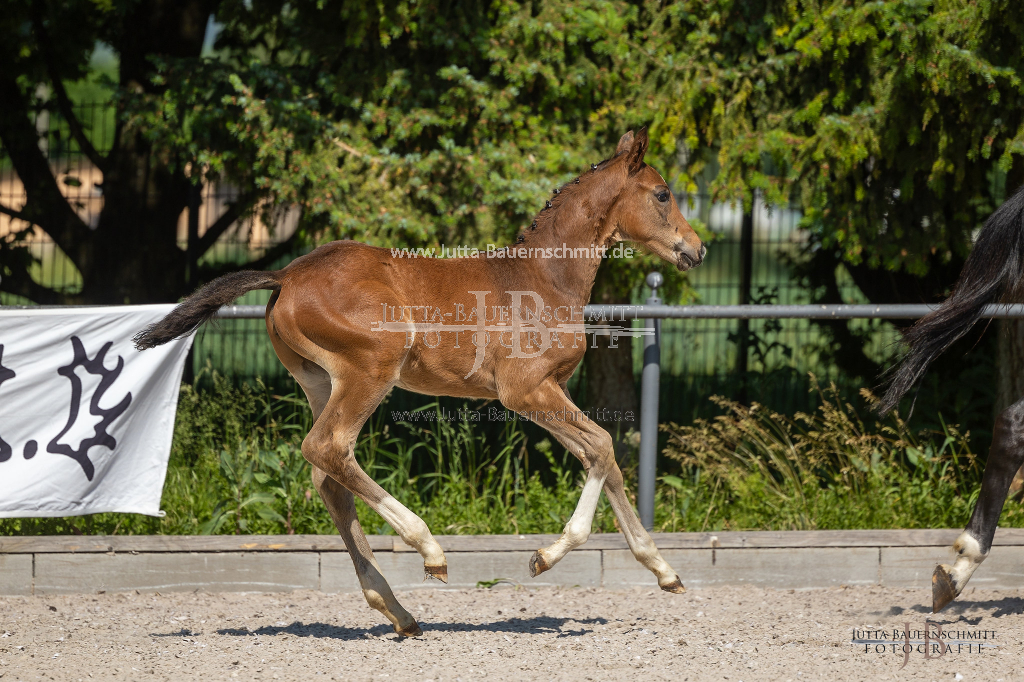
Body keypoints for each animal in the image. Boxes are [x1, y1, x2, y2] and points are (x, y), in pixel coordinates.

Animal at [136, 130, 708, 634]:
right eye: (662, 193)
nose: (698, 249)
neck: (544, 279)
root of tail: (287, 275)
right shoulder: (524, 391)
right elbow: (604, 445)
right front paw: (545, 556)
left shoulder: (552, 389)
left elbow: (603, 460)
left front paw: (663, 570)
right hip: (370, 371)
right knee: (327, 449)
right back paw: (428, 550)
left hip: (320, 383)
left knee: (328, 476)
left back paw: (397, 610)